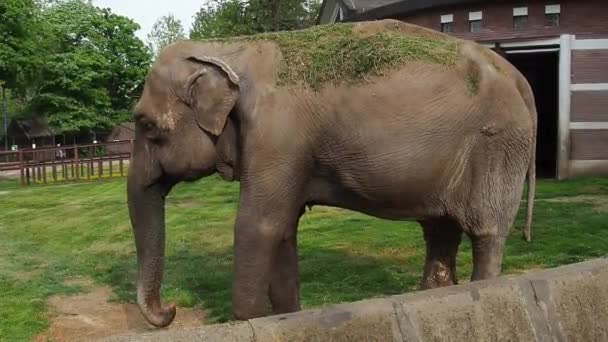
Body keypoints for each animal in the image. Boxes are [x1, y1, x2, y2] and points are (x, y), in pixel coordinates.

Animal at [126, 19, 536, 328]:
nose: (170, 309)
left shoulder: (278, 135)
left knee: (486, 232)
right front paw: (288, 317)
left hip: (497, 146)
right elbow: (284, 229)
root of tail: (519, 79)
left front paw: (245, 321)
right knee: (440, 230)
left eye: (145, 124)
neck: (229, 49)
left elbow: (258, 227)